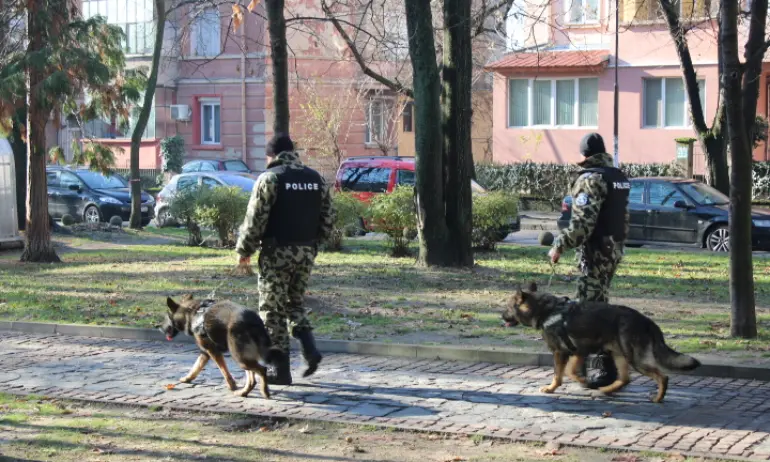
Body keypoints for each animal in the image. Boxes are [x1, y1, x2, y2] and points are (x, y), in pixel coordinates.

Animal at [500, 280, 700, 402]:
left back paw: (658, 398)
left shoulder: (561, 353)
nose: (501, 317)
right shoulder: (578, 352)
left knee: (662, 377)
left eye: (508, 308)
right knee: (625, 379)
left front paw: (552, 388)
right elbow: (570, 371)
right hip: (620, 355)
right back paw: (608, 390)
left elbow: (559, 374)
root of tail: (647, 321)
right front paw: (582, 380)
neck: (545, 311)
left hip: (635, 359)